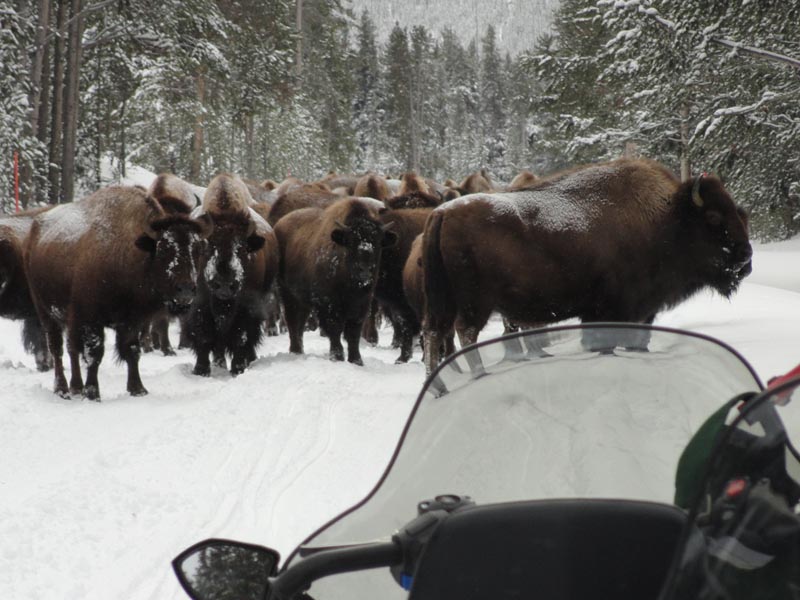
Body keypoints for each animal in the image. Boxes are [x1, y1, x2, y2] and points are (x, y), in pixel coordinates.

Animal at [26, 183, 212, 398]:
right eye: (164, 249)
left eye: (198, 249)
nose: (185, 291)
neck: (129, 253)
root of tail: (35, 229)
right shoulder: (91, 319)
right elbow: (94, 354)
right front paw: (93, 393)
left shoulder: (132, 321)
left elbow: (132, 351)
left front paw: (138, 389)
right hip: (46, 313)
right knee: (57, 349)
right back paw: (62, 389)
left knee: (72, 349)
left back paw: (76, 387)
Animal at [422, 159, 752, 376]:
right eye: (712, 216)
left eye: (739, 212)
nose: (745, 258)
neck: (666, 219)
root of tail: (442, 213)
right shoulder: (613, 311)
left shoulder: (640, 313)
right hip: (474, 303)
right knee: (464, 333)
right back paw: (478, 375)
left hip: (444, 302)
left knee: (435, 334)